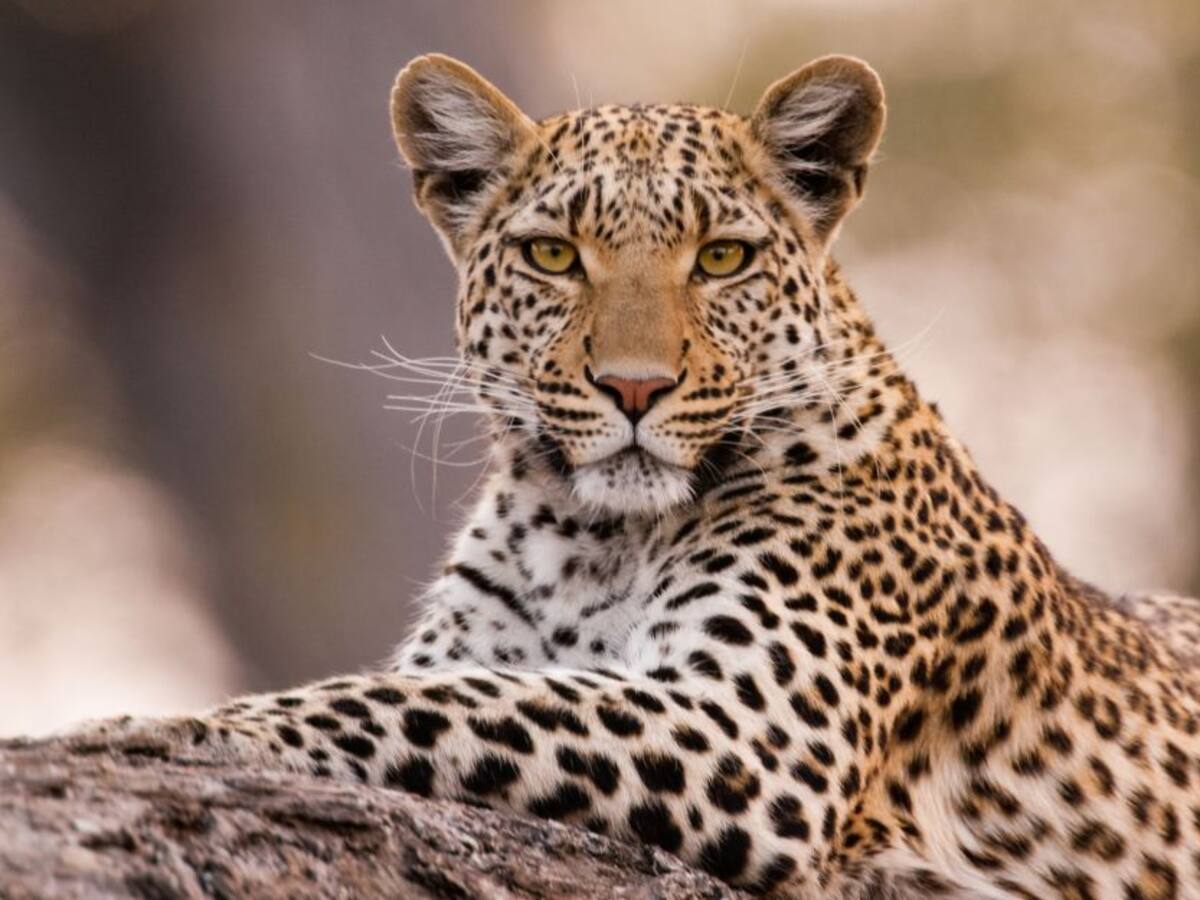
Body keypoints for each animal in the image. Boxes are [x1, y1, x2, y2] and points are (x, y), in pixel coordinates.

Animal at [67, 53, 1200, 899]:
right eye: (555, 256)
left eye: (724, 258)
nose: (635, 388)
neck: (589, 539)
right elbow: (441, 684)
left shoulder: (750, 730)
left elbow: (436, 703)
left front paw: (165, 727)